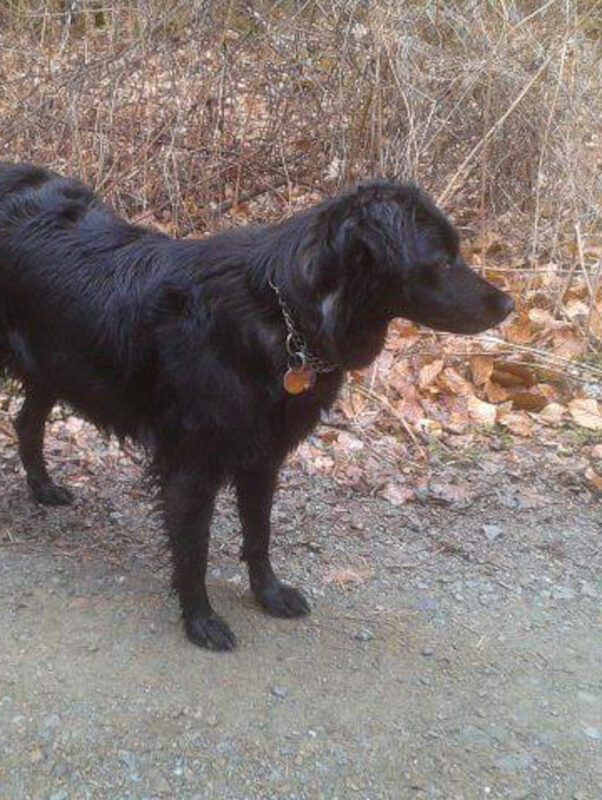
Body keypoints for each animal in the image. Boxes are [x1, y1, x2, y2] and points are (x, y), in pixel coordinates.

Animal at [0, 163, 514, 650]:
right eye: (441, 260)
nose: (508, 305)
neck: (285, 315)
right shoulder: (192, 463)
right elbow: (194, 550)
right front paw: (200, 620)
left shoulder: (263, 454)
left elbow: (259, 534)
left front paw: (268, 594)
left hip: (53, 367)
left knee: (26, 424)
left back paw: (43, 487)